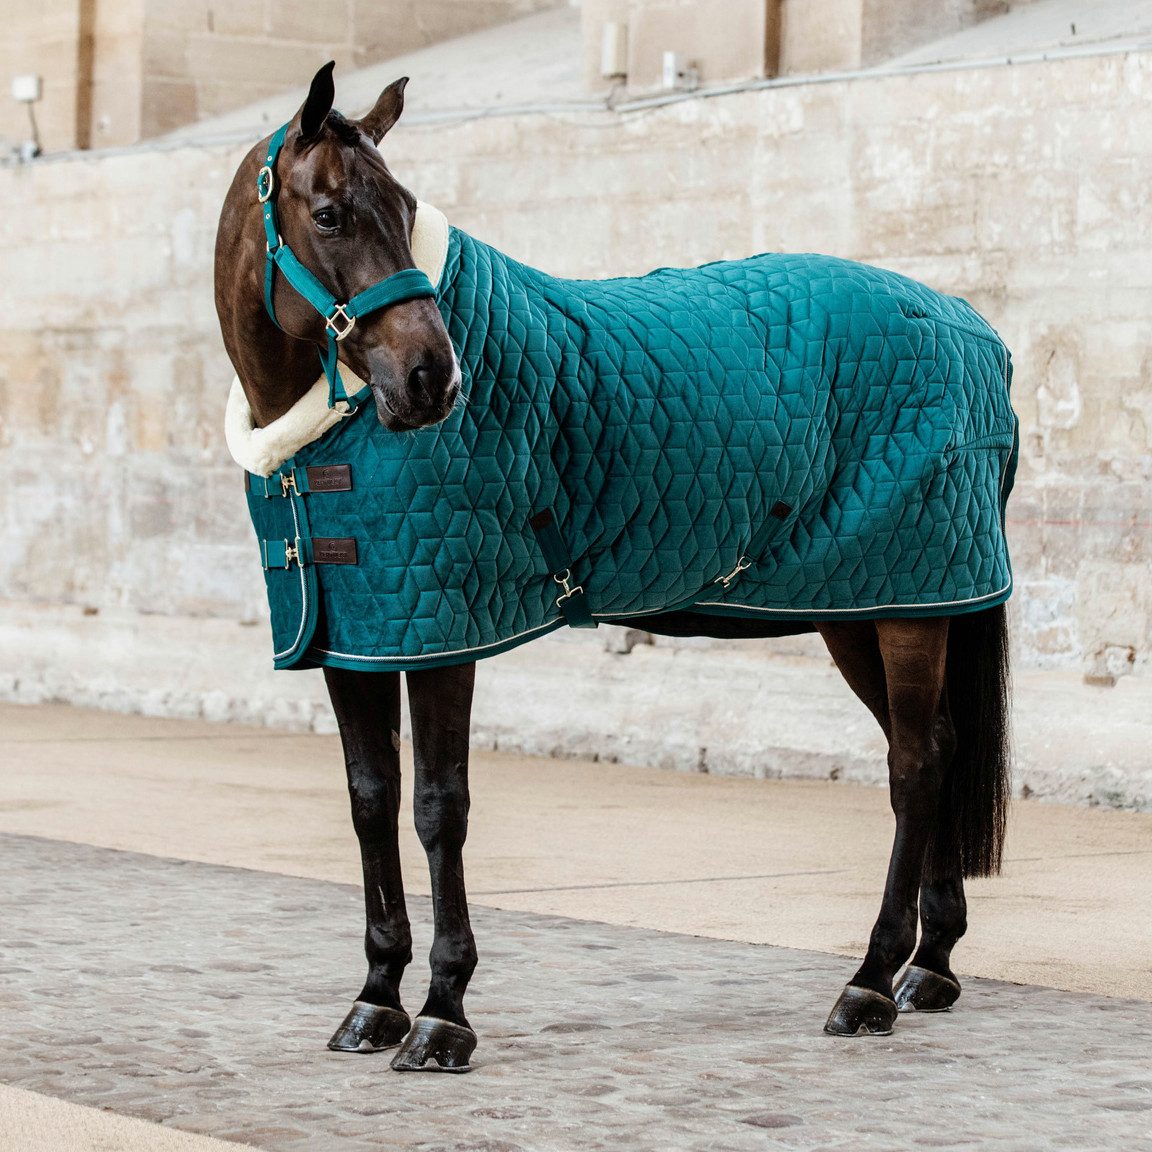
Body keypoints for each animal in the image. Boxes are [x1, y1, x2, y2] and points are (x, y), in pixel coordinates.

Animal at [214, 63, 1014, 1073]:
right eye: (328, 214)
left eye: (403, 207)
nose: (435, 379)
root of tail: (973, 327)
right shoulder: (358, 638)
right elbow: (370, 802)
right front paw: (374, 999)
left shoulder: (441, 635)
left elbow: (438, 808)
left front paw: (442, 1013)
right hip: (868, 603)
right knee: (939, 748)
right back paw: (930, 966)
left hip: (913, 598)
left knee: (913, 764)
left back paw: (869, 982)